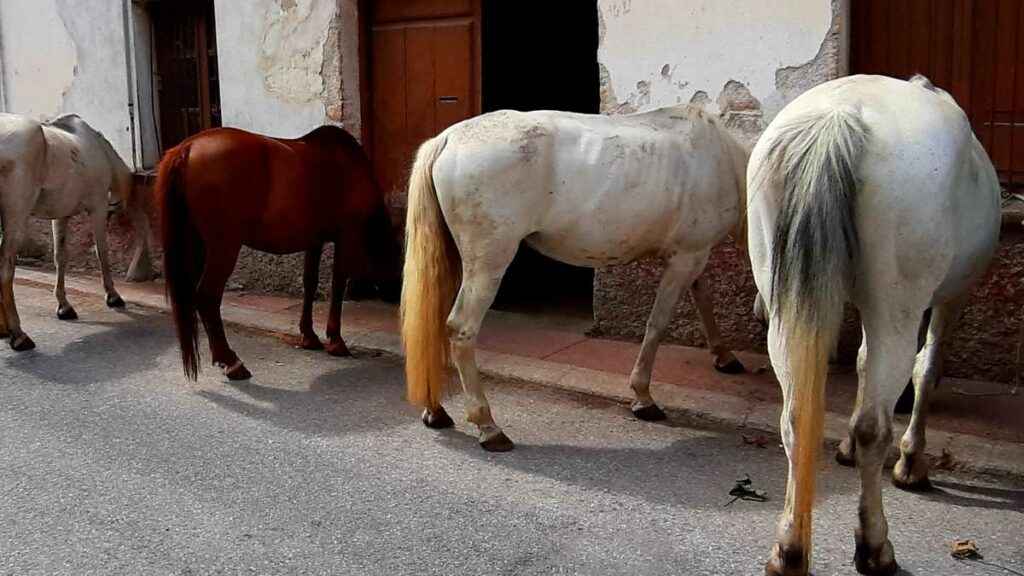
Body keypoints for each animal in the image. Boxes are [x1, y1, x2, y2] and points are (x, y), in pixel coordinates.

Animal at [0, 109, 151, 348]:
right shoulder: (98, 206)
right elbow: (102, 252)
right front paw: (113, 295)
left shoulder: (61, 215)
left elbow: (60, 257)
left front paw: (64, 306)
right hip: (16, 215)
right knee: (6, 267)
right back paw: (18, 334)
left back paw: (5, 330)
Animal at [154, 124, 395, 381]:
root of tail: (187, 148)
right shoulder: (345, 236)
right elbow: (338, 285)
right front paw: (336, 340)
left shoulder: (314, 241)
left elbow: (310, 283)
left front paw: (309, 336)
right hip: (224, 247)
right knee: (207, 297)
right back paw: (232, 362)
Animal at [401, 105, 753, 450]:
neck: (723, 160)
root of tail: (448, 139)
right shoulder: (686, 257)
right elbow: (657, 325)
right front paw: (643, 397)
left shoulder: (694, 257)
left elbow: (704, 300)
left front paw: (725, 357)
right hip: (488, 262)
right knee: (461, 329)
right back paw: (488, 426)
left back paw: (435, 410)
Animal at [745, 72, 999, 573]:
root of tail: (838, 118)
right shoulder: (952, 298)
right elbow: (928, 368)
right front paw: (912, 463)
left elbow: (863, 362)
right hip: (896, 309)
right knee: (873, 426)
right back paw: (875, 546)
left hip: (786, 309)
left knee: (795, 417)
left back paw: (788, 550)